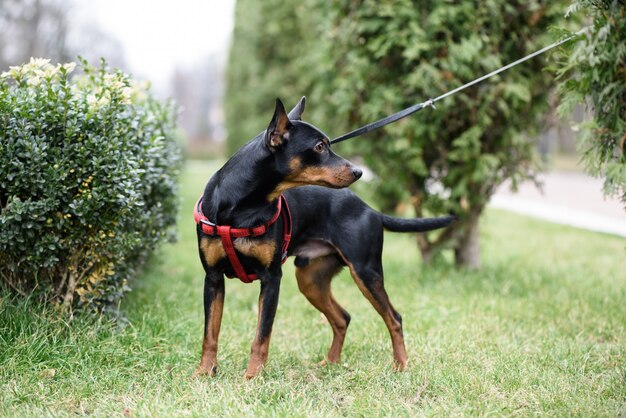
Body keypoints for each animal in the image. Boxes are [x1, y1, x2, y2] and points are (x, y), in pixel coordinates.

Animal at [191, 98, 454, 378]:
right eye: (319, 146)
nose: (359, 172)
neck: (241, 204)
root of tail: (370, 209)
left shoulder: (271, 278)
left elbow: (261, 336)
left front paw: (252, 376)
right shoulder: (213, 278)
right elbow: (210, 333)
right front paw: (204, 372)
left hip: (365, 272)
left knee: (394, 318)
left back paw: (400, 366)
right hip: (311, 279)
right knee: (342, 318)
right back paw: (331, 363)